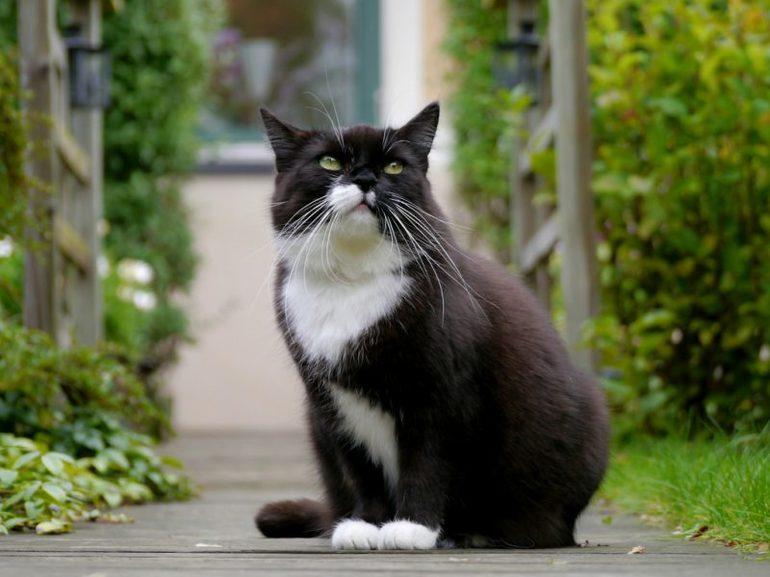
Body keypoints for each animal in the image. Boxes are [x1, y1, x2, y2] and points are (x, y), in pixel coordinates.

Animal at [256, 102, 608, 548]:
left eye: (393, 166)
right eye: (330, 161)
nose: (366, 178)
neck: (351, 280)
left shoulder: (443, 391)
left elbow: (428, 460)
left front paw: (412, 527)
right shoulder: (330, 401)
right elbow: (360, 468)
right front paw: (364, 525)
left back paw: (473, 533)